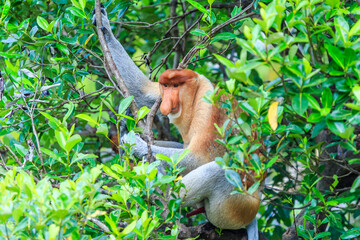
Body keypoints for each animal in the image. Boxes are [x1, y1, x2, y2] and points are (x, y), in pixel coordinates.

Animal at [93, 6, 262, 239]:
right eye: (165, 86)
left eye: (176, 85)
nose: (167, 102)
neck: (194, 95)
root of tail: (255, 206)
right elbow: (143, 91)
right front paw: (104, 25)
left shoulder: (208, 107)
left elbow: (199, 158)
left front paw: (132, 143)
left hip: (233, 207)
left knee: (219, 170)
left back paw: (158, 192)